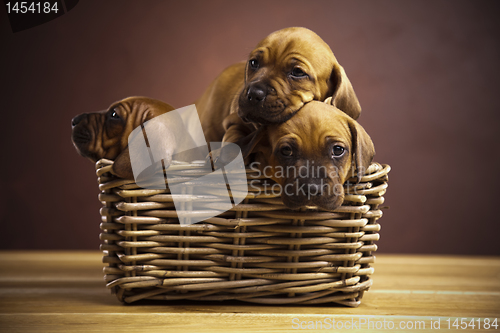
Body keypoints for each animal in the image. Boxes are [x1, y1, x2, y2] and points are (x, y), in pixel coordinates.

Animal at [196, 27, 364, 162]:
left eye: (297, 72)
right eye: (253, 63)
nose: (254, 93)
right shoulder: (233, 121)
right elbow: (233, 137)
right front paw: (222, 154)